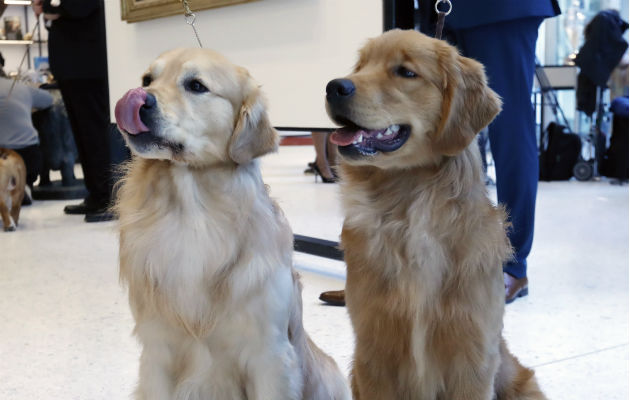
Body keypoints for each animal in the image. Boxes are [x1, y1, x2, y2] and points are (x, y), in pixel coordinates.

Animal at [328, 30, 544, 400]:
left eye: (405, 72)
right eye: (361, 66)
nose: (333, 86)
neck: (407, 211)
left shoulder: (472, 358)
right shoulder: (372, 354)